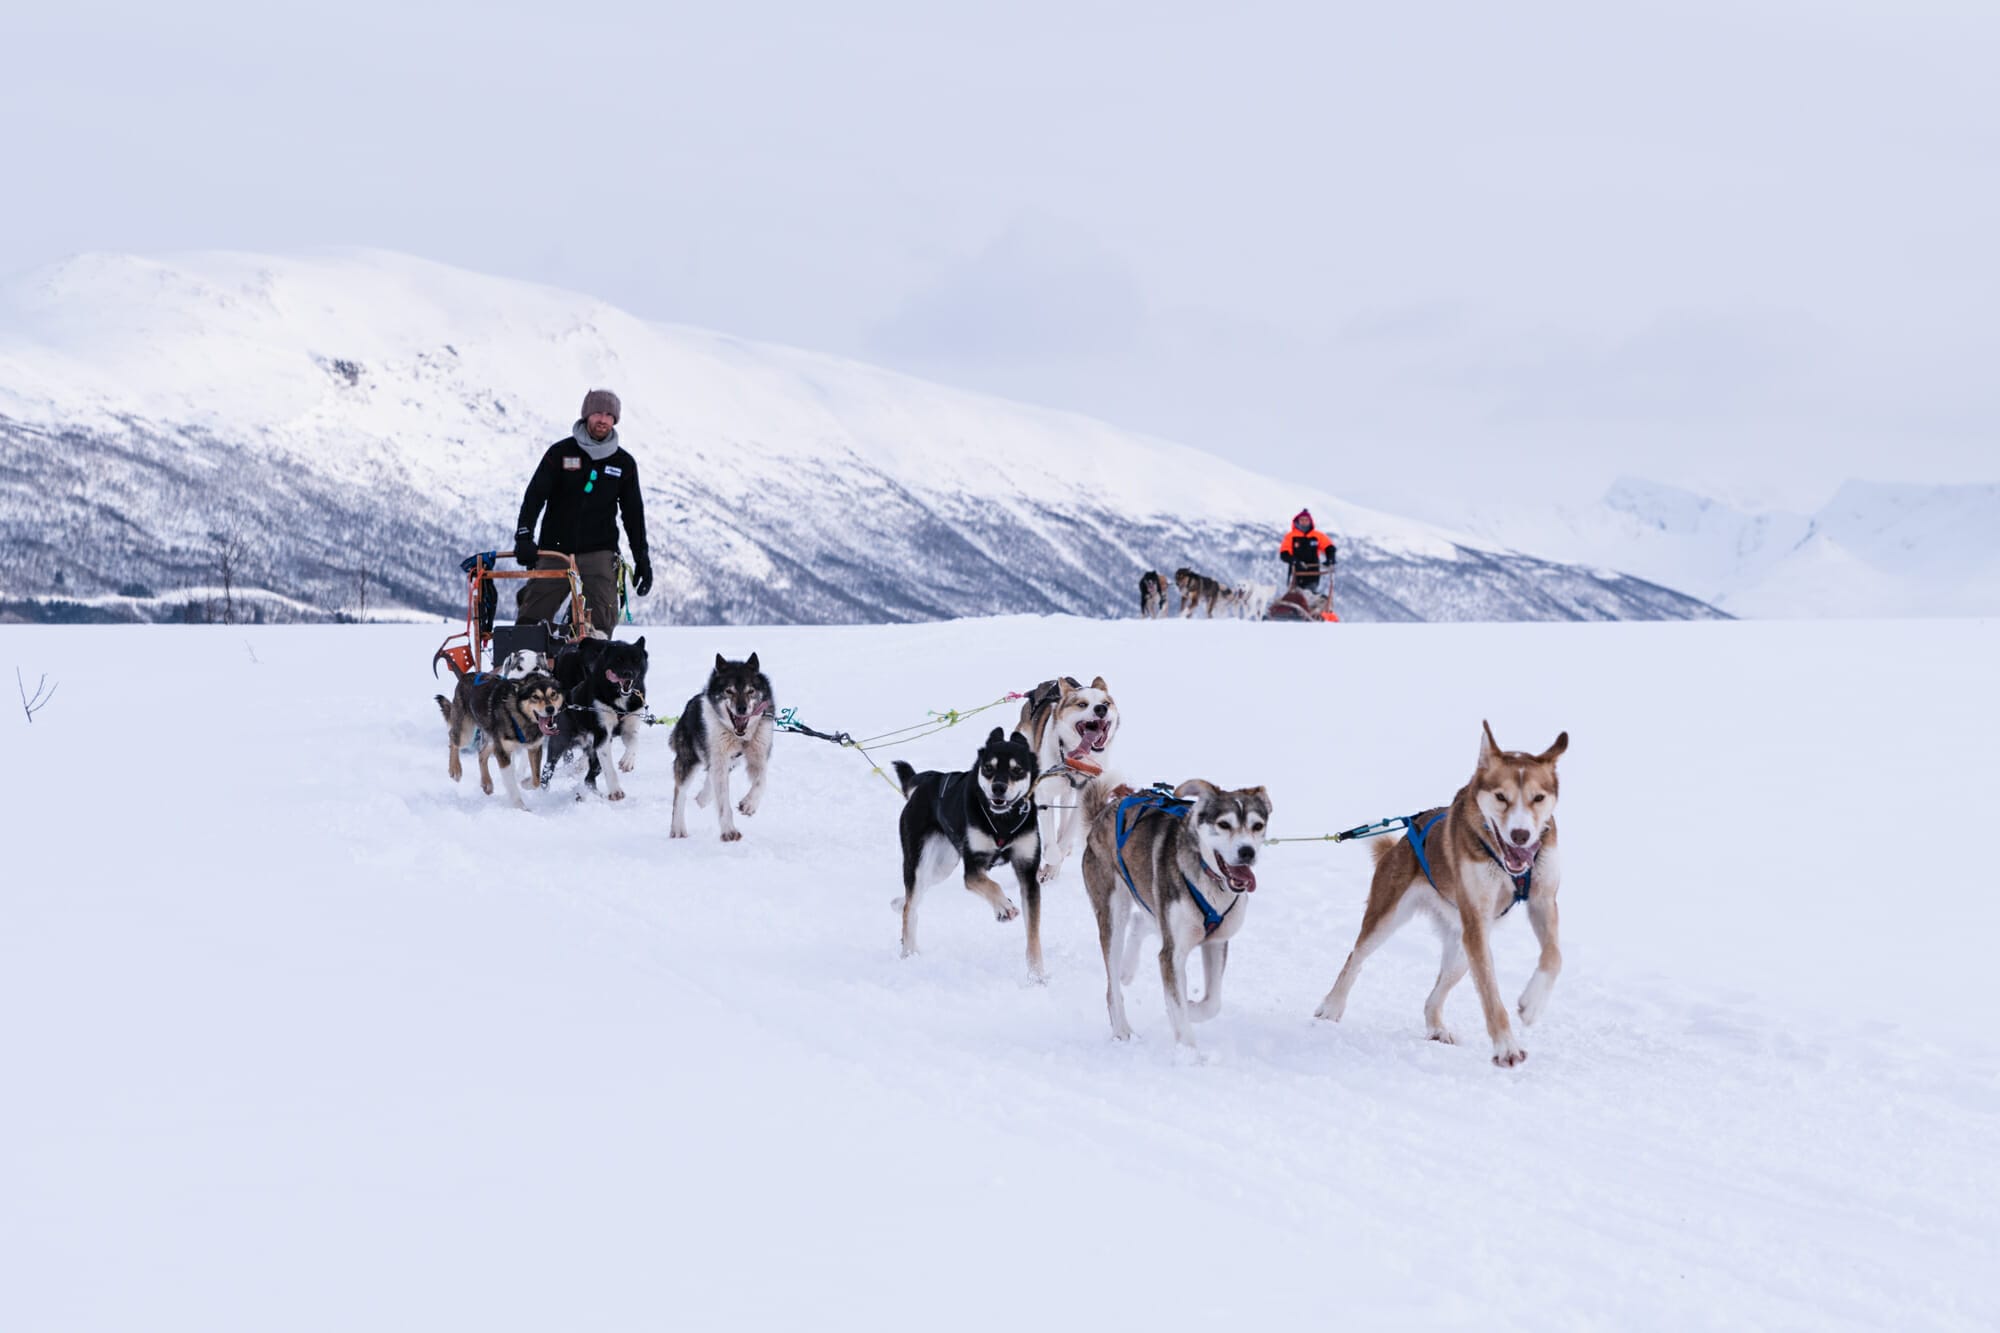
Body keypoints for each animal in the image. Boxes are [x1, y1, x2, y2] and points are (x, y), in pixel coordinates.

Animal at [540, 632, 648, 800]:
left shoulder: (628, 729)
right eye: (618, 659)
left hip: (593, 752)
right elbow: (609, 768)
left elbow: (634, 743)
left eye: (636, 659)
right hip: (560, 743)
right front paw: (616, 790)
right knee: (547, 770)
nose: (628, 673)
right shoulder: (603, 734)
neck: (618, 702)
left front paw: (627, 762)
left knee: (589, 779)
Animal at [664, 652, 772, 840]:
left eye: (750, 691)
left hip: (729, 762)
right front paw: (729, 830)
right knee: (680, 793)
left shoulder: (758, 755)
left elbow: (761, 780)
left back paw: (703, 798)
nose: (742, 708)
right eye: (729, 691)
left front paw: (749, 804)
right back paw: (677, 828)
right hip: (689, 759)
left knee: (710, 779)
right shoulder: (719, 758)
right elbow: (723, 800)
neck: (740, 736)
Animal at [892, 728, 1048, 976]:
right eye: (988, 768)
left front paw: (1037, 976)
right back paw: (908, 953)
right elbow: (991, 885)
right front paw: (1004, 907)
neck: (1001, 822)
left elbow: (1033, 932)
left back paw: (898, 904)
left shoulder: (1028, 872)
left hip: (941, 866)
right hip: (919, 861)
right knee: (911, 905)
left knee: (914, 897)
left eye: (1017, 770)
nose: (998, 788)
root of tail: (930, 779)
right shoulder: (973, 868)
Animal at [1016, 676, 1128, 880]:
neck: (1076, 761)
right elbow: (1051, 843)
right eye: (1082, 704)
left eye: (1106, 703)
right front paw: (1050, 860)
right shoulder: (1044, 794)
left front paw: (1056, 862)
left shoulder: (1086, 794)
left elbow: (1069, 832)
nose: (1101, 709)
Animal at [1312, 720, 1576, 1064]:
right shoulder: (1477, 920)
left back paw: (1436, 1027)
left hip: (1462, 950)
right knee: (1355, 958)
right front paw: (1506, 1047)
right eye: (1501, 797)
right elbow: (1491, 994)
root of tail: (1400, 842)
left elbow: (1554, 957)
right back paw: (1332, 1007)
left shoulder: (1542, 901)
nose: (1520, 834)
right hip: (1390, 918)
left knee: (1433, 996)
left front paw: (1532, 1005)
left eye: (1538, 797)